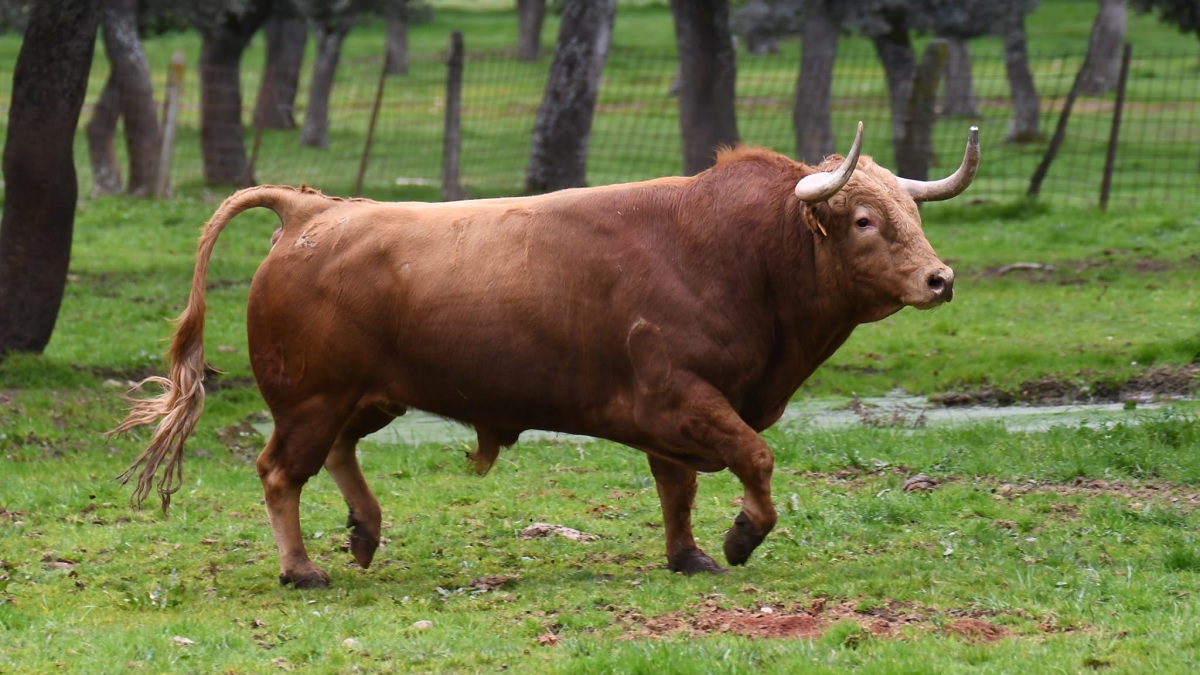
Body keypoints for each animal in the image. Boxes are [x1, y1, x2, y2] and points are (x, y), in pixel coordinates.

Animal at [110, 123, 974, 586]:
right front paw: (740, 537)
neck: (738, 253)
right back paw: (303, 567)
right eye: (863, 219)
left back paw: (364, 528)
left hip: (369, 397)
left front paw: (690, 554)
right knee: (281, 472)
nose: (941, 278)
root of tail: (310, 210)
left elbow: (679, 489)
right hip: (310, 401)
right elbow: (753, 459)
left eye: (910, 214)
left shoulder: (678, 419)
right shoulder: (681, 397)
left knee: (340, 455)